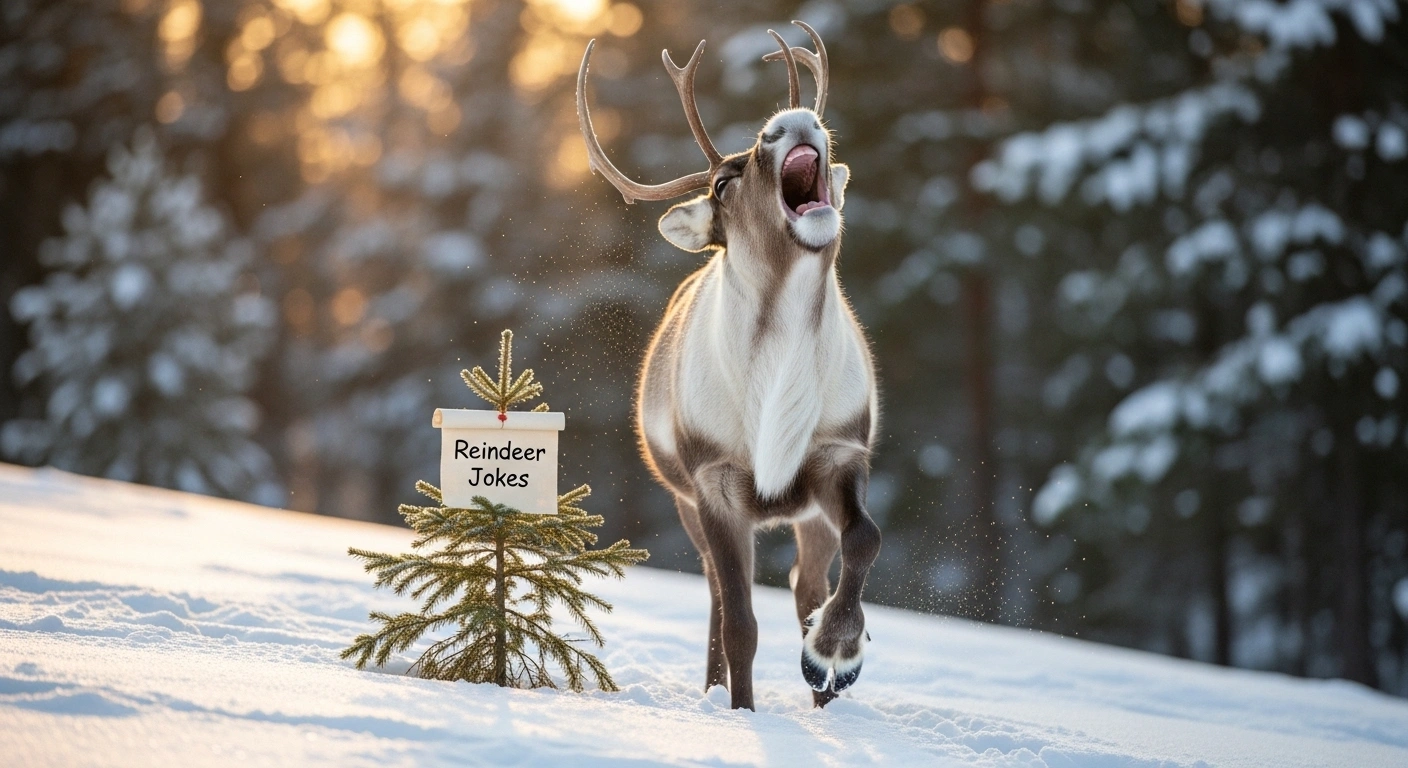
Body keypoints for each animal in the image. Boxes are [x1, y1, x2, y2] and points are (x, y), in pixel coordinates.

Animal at [576, 21, 881, 711]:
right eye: (721, 183)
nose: (788, 123)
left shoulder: (838, 453)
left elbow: (865, 540)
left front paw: (835, 652)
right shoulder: (714, 479)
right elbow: (741, 621)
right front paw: (742, 710)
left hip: (803, 513)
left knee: (804, 583)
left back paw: (821, 687)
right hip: (686, 500)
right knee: (720, 592)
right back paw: (716, 691)